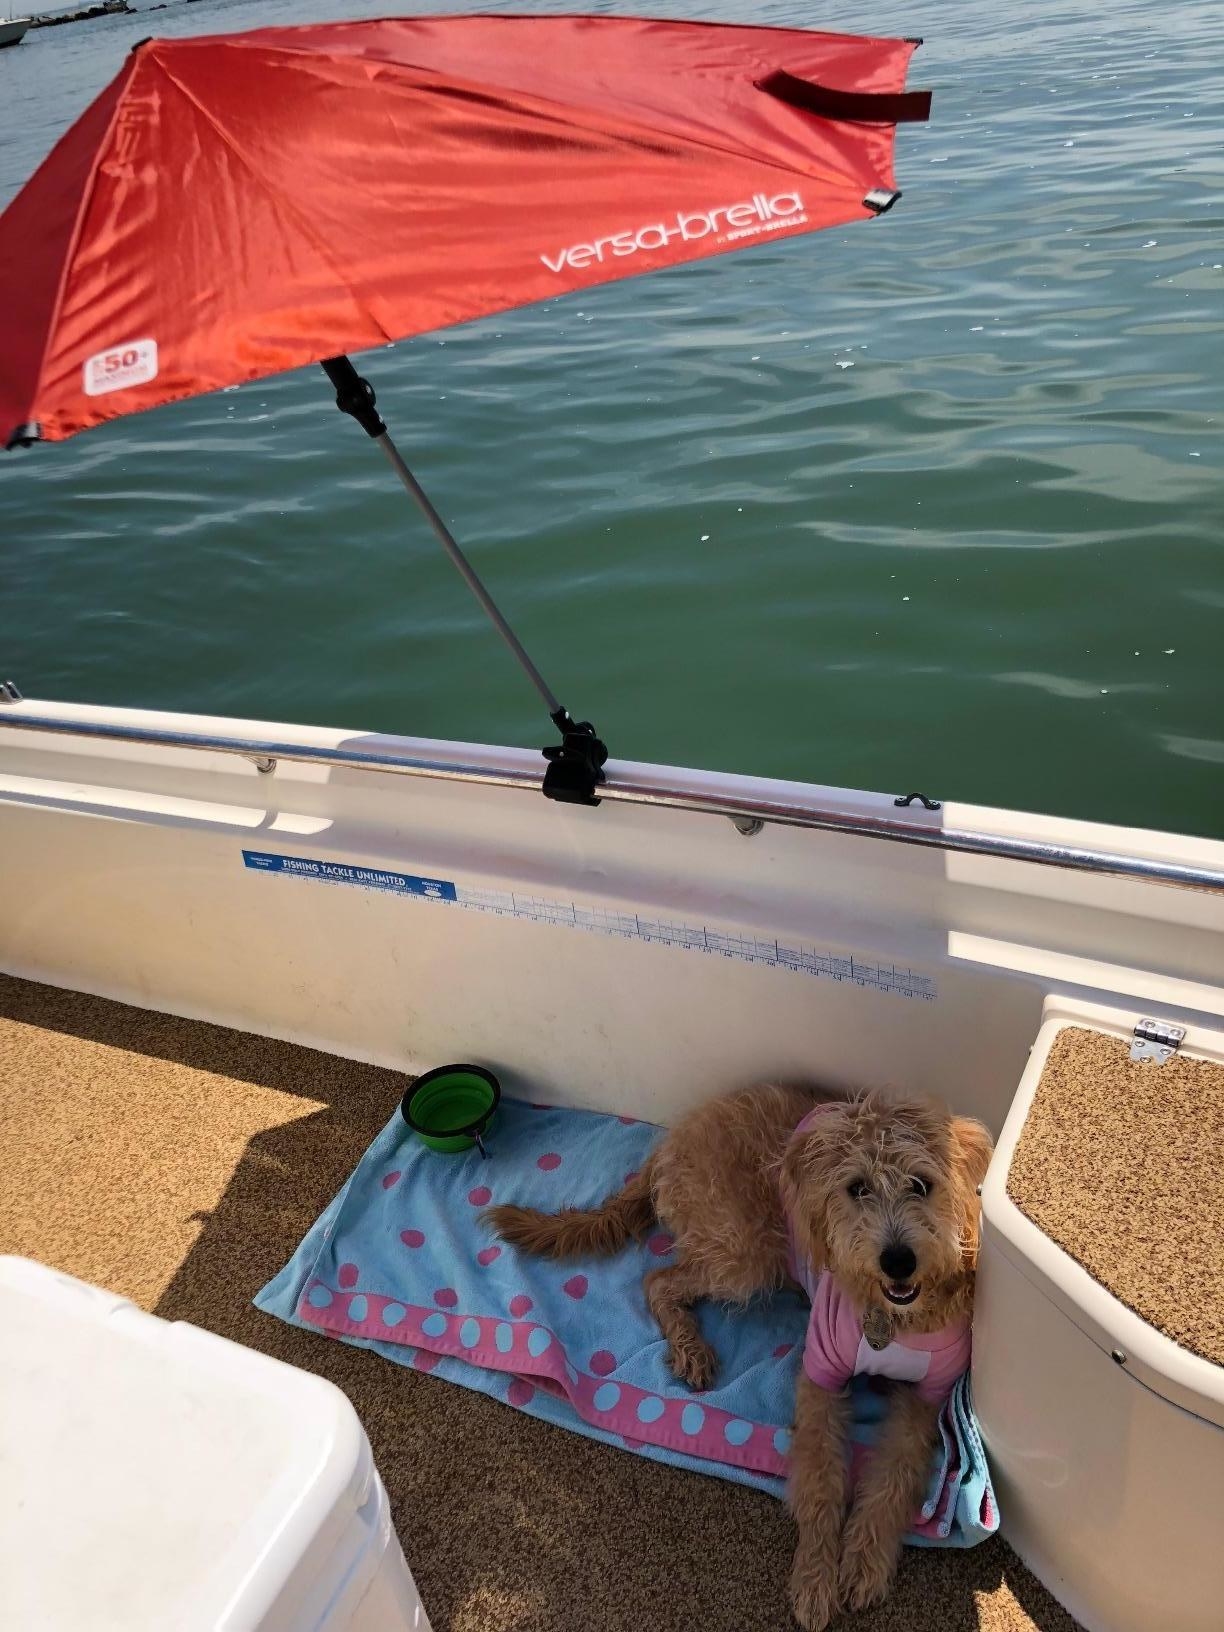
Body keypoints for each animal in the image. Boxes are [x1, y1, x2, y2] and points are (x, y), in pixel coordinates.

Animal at [483, 1083, 992, 1632]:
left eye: (921, 1184)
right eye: (857, 1188)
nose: (897, 1261)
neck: (893, 1319)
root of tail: (676, 1136)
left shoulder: (923, 1399)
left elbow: (892, 1482)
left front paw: (865, 1565)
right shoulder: (821, 1375)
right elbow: (820, 1481)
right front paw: (815, 1577)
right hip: (744, 1253)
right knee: (657, 1280)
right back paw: (690, 1349)